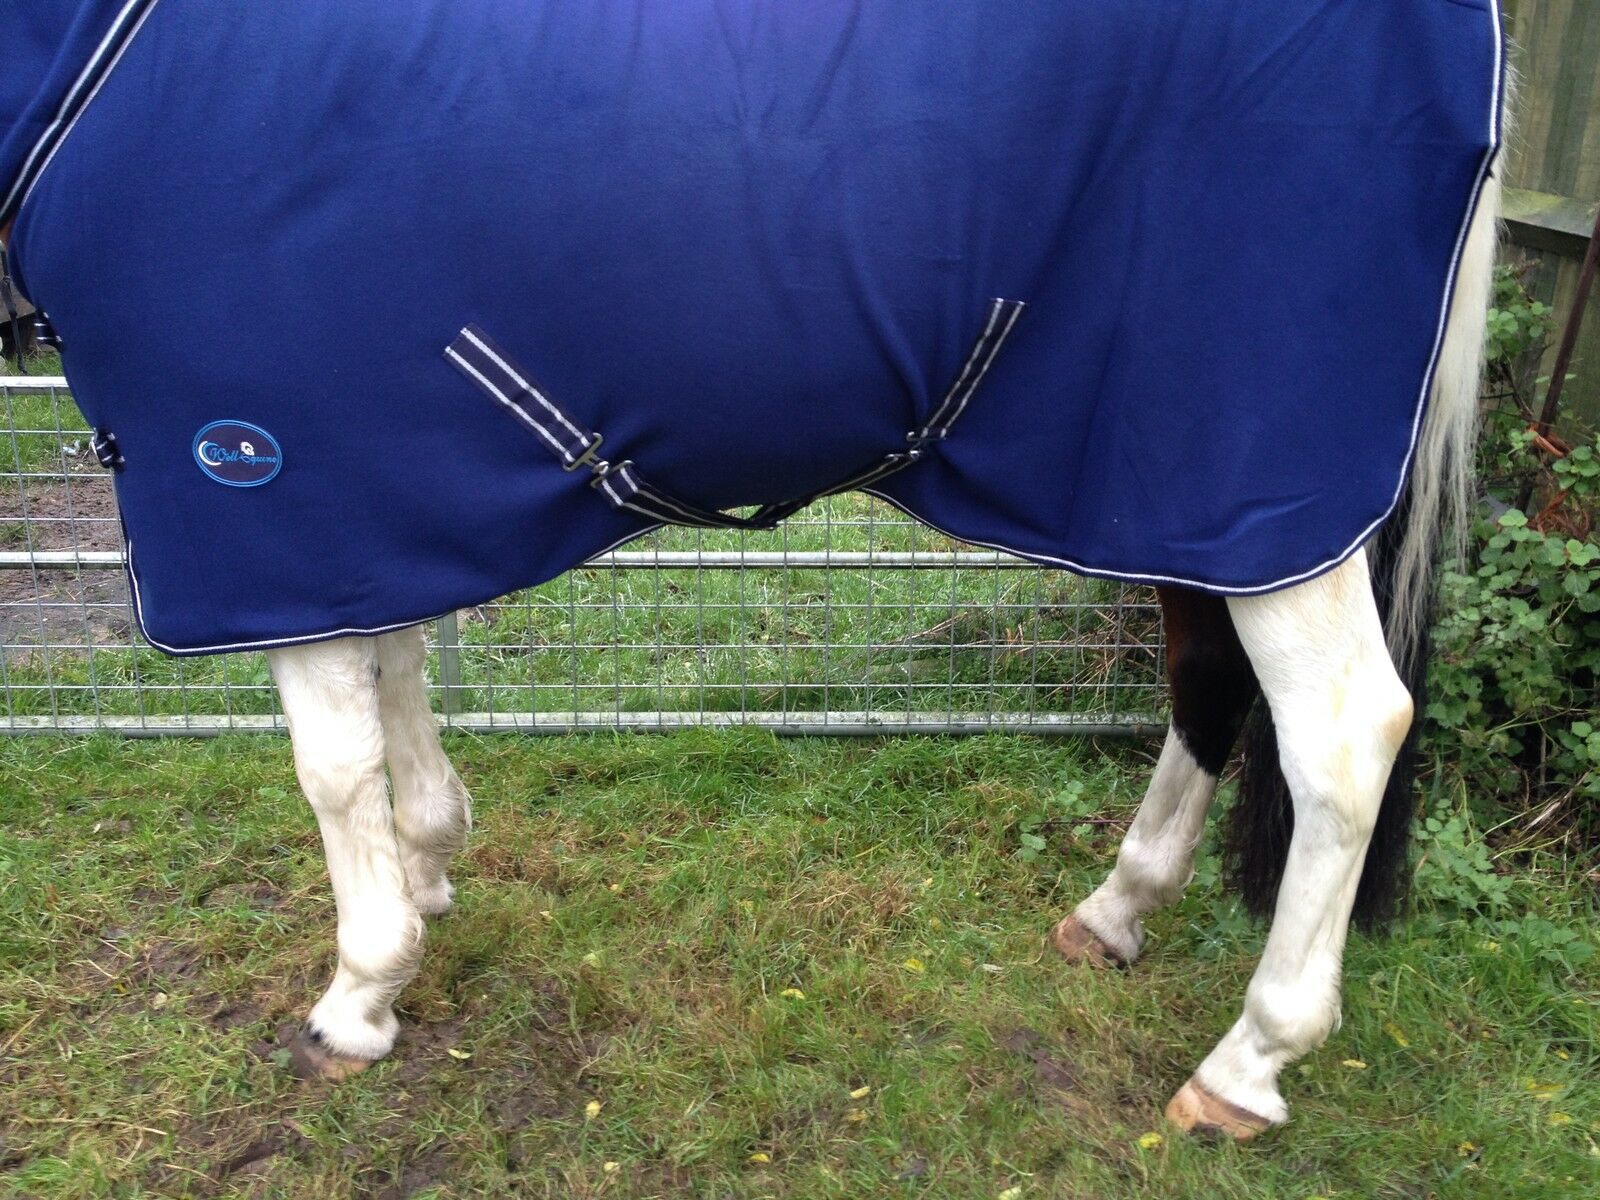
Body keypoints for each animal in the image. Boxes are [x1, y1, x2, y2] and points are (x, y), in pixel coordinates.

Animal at [1, 1, 1506, 1139]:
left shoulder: (264, 489)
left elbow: (331, 761)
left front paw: (358, 1000)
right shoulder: (364, 506)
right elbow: (398, 680)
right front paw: (429, 873)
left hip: (1258, 478)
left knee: (1342, 737)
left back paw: (1249, 1064)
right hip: (1186, 497)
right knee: (1205, 687)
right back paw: (1114, 916)